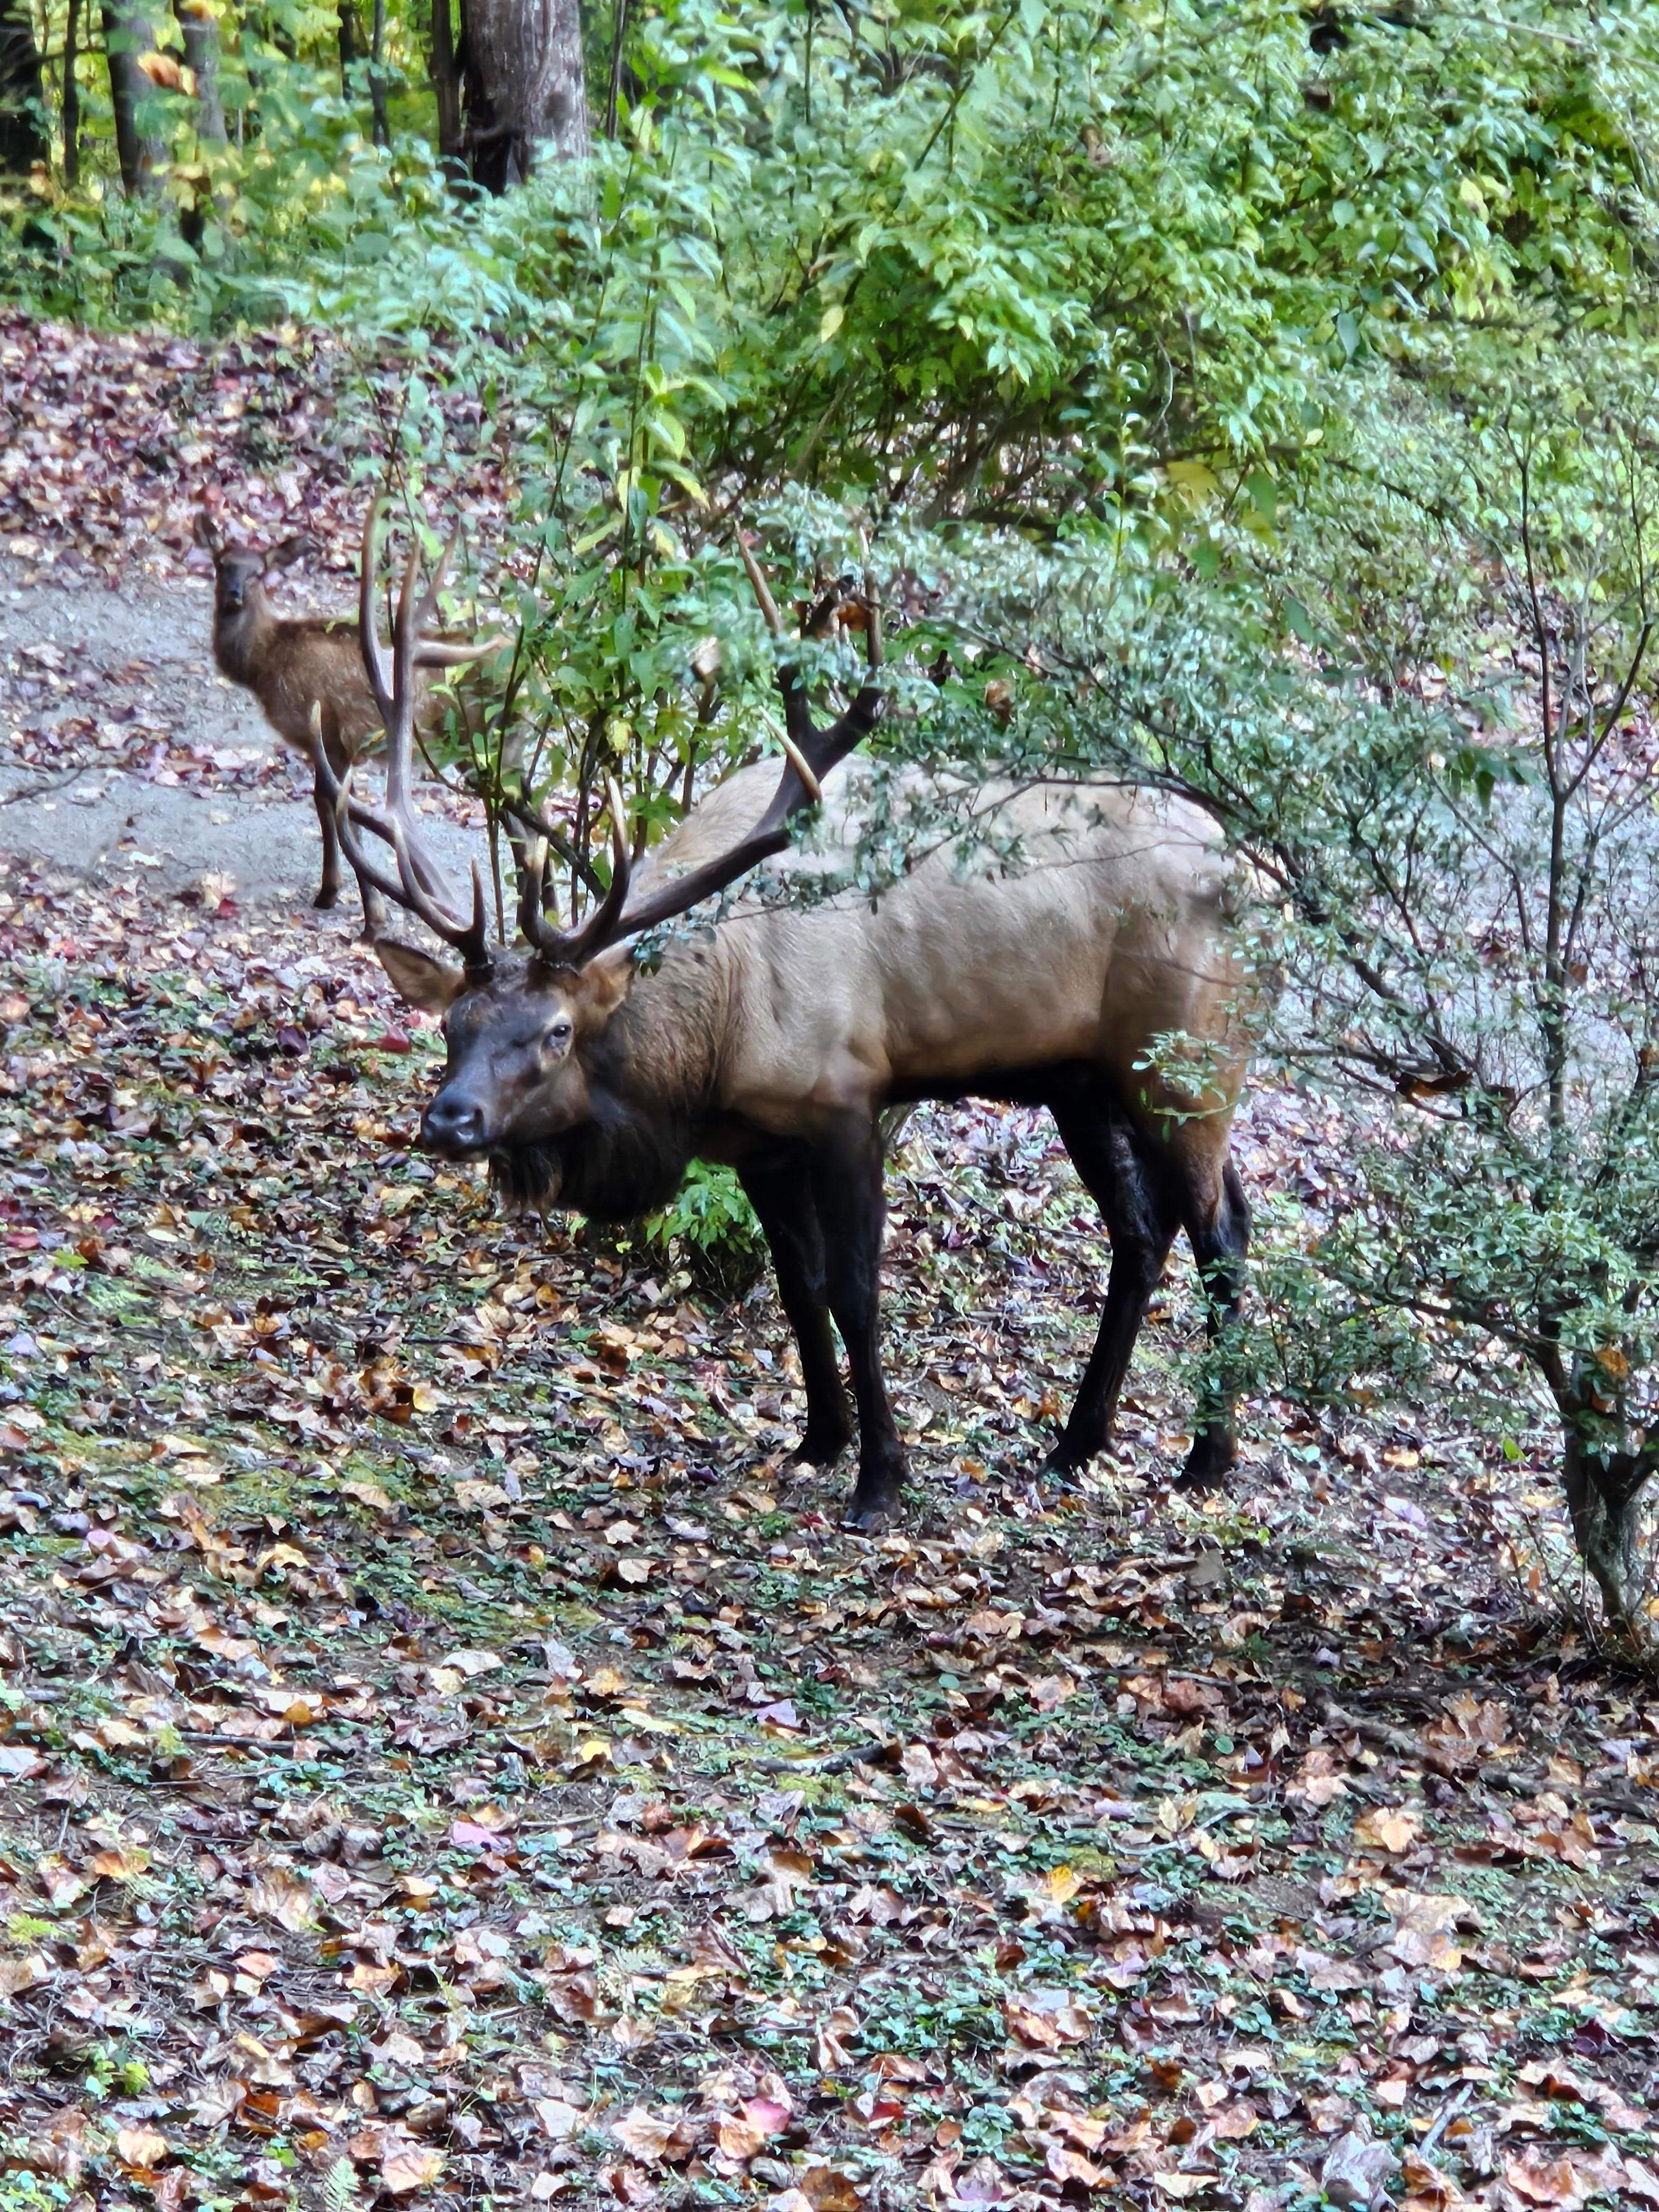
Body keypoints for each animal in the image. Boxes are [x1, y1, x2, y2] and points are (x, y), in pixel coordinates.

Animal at [193, 511, 502, 918]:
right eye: (222, 564)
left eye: (258, 573)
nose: (234, 594)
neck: (266, 663)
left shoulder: (324, 731)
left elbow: (331, 807)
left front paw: (344, 898)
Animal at [320, 508, 1255, 1529]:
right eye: (454, 1025)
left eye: (557, 1031)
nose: (449, 1120)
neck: (714, 1041)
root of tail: (1257, 882)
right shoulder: (756, 1141)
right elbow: (798, 1288)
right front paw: (818, 1439)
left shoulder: (848, 1098)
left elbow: (854, 1292)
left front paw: (881, 1476)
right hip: (1083, 1079)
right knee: (1143, 1229)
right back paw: (1077, 1444)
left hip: (1193, 1059)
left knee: (1223, 1233)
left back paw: (1206, 1459)